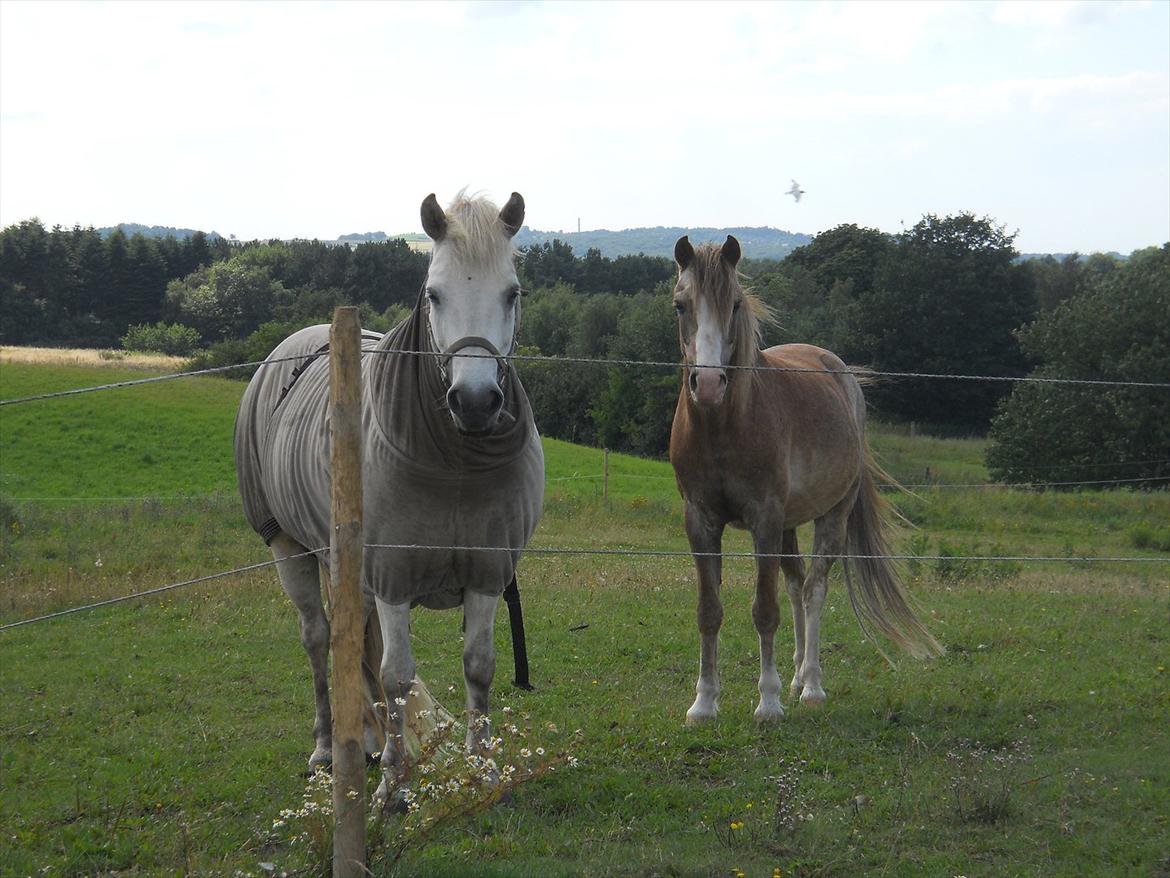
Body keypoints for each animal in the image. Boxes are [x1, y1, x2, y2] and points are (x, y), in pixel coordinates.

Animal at [669, 231, 940, 721]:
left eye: (734, 304)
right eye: (681, 305)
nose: (710, 384)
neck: (723, 428)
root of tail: (844, 376)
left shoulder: (765, 519)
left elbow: (764, 609)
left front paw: (768, 703)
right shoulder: (700, 521)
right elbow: (709, 610)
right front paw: (703, 703)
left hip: (831, 515)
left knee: (813, 589)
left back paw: (811, 684)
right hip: (790, 524)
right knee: (796, 586)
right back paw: (795, 677)